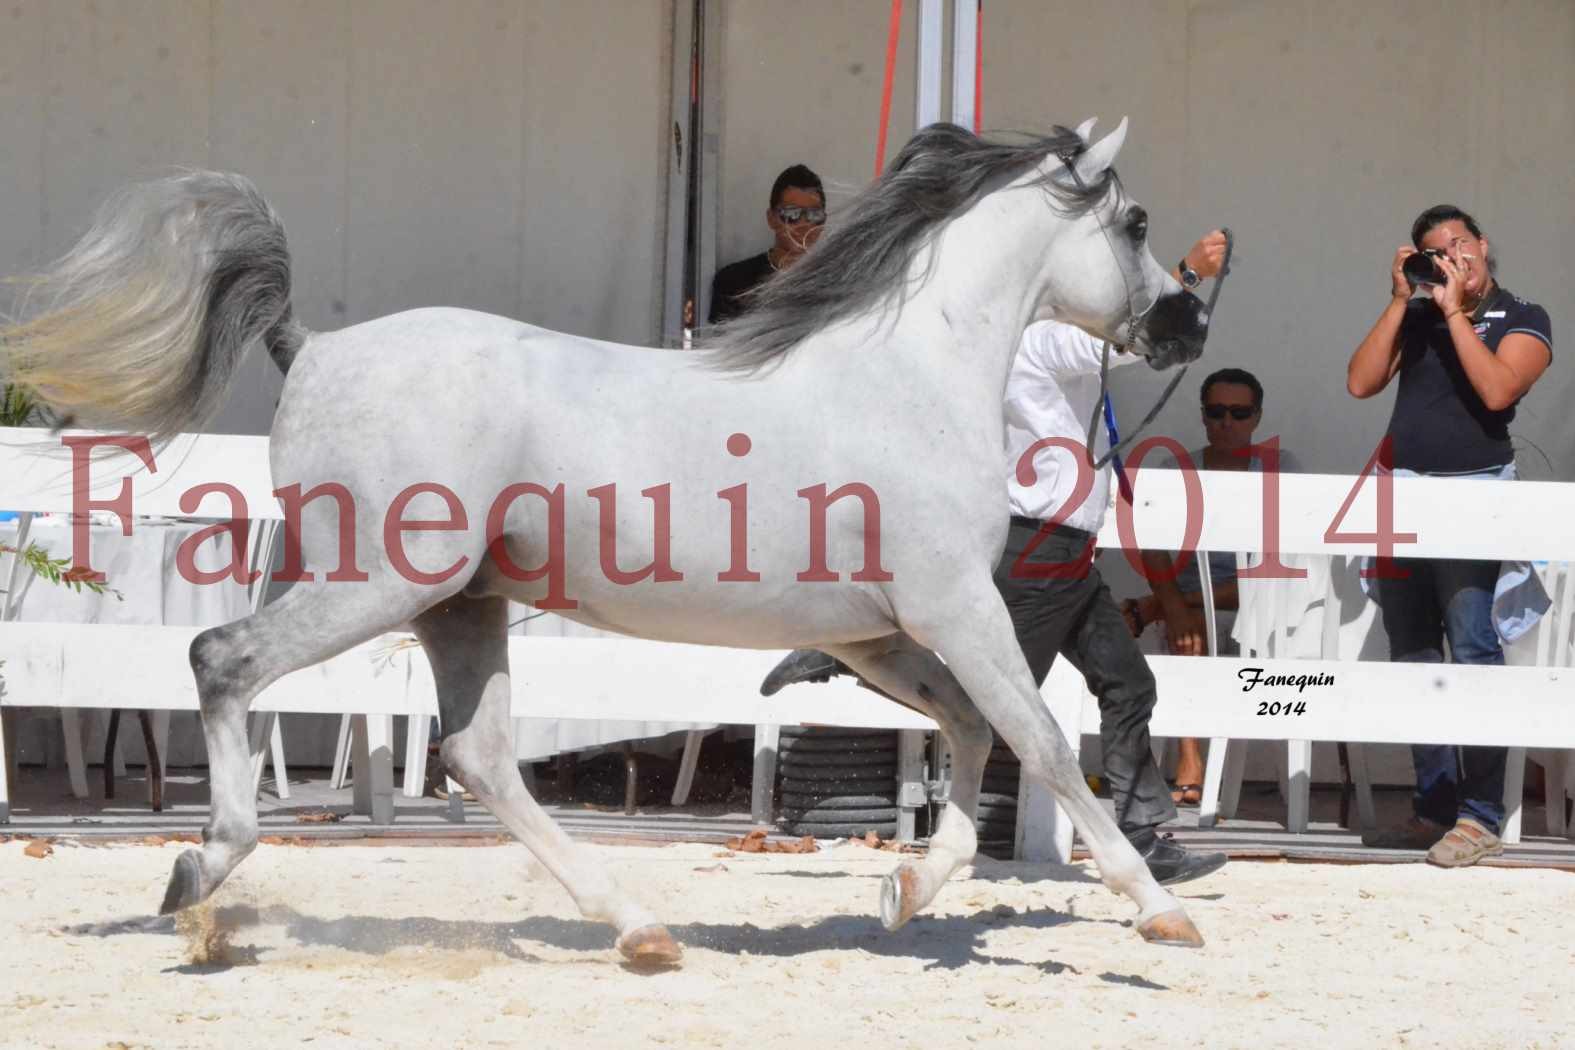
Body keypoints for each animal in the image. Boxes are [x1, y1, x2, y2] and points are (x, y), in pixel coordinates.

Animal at [3, 118, 1203, 963]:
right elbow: (1042, 742)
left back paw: (638, 928)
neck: (905, 376)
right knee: (225, 661)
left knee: (479, 756)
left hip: (459, 605)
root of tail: (316, 346)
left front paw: (905, 893)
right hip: (379, 586)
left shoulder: (875, 636)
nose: (1187, 322)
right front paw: (1156, 911)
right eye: (1139, 223)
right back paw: (200, 874)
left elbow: (970, 729)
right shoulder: (957, 606)